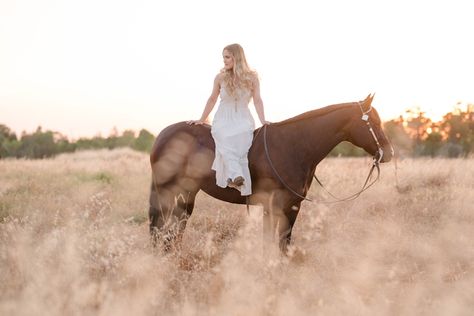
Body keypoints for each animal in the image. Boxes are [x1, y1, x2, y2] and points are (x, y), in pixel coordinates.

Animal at [148, 93, 392, 252]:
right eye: (373, 122)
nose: (388, 153)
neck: (293, 147)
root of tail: (162, 135)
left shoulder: (292, 206)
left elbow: (284, 243)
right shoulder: (272, 206)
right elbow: (270, 242)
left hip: (187, 194)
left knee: (175, 227)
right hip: (169, 192)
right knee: (161, 227)